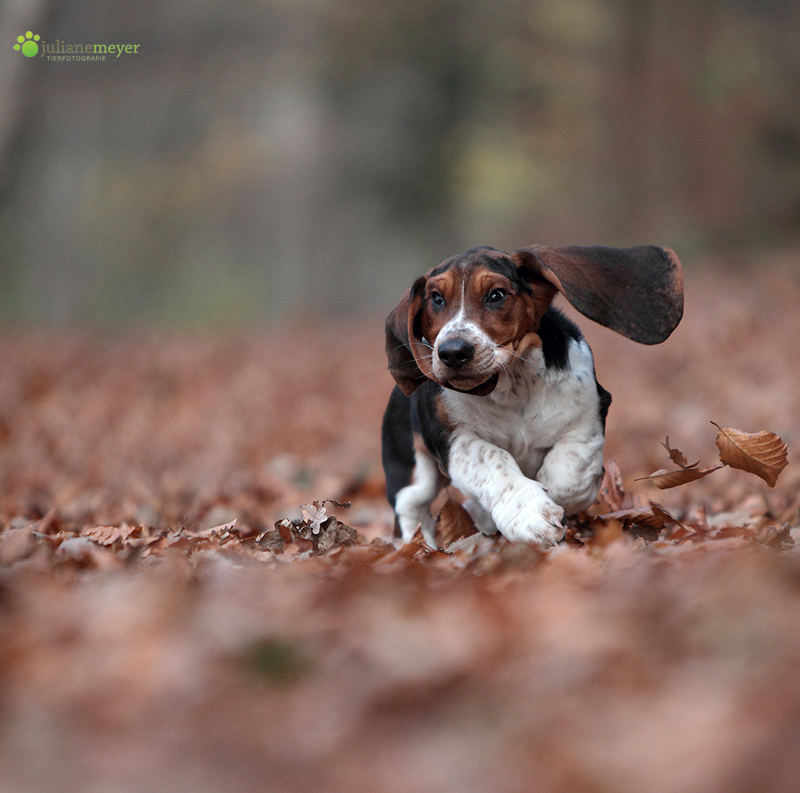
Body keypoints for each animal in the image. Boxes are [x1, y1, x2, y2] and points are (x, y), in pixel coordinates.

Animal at [382, 244, 680, 548]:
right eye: (437, 299)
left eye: (496, 295)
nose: (452, 352)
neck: (512, 386)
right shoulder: (454, 440)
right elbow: (494, 460)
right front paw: (530, 513)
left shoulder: (587, 418)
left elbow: (569, 475)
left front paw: (553, 495)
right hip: (412, 473)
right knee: (413, 512)